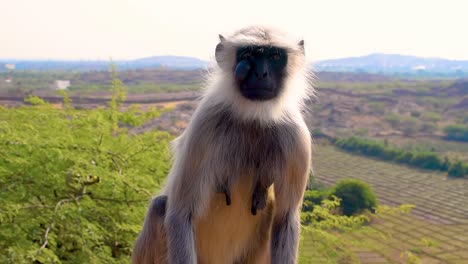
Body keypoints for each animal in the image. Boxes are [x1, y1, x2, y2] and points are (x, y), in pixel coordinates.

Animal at [132, 25, 314, 264]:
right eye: (248, 55)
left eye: (275, 56)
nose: (261, 73)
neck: (252, 118)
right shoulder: (206, 123)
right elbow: (180, 213)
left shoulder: (296, 137)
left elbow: (285, 218)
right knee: (159, 207)